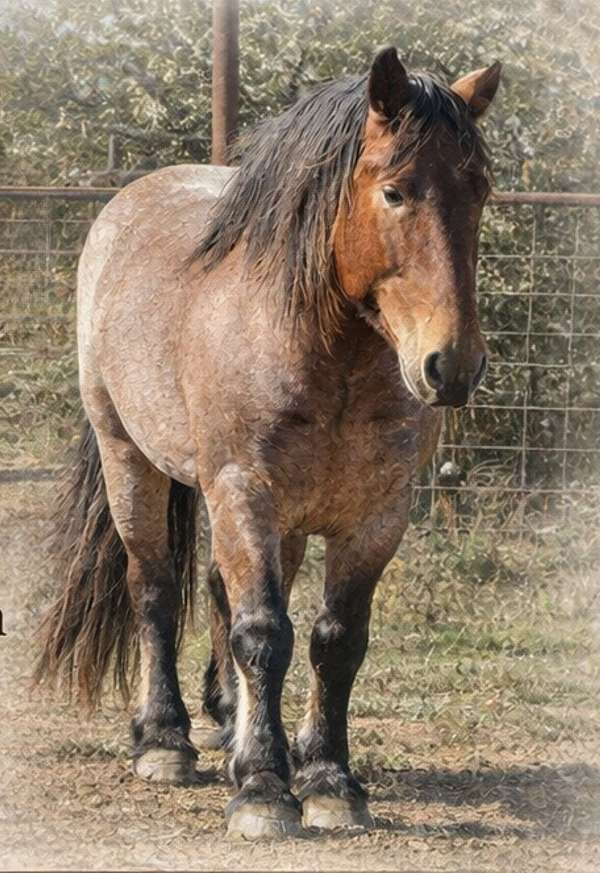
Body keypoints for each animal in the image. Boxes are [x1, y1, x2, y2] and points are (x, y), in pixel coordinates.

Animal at [35, 47, 501, 839]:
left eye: (481, 190)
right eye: (395, 191)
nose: (452, 365)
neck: (324, 354)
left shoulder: (376, 516)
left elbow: (334, 641)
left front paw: (327, 779)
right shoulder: (243, 491)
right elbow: (263, 634)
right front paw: (262, 788)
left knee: (224, 595)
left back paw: (231, 724)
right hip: (131, 461)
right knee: (156, 588)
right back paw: (165, 739)